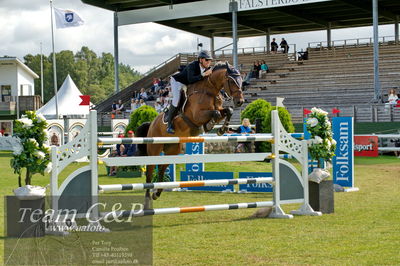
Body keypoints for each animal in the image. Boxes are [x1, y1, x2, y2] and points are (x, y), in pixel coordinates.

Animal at [136, 62, 245, 208]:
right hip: (154, 149)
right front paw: (210, 125)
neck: (209, 91)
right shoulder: (197, 116)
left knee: (162, 169)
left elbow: (228, 110)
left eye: (241, 80)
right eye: (232, 81)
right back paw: (148, 200)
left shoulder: (221, 110)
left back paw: (157, 193)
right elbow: (215, 113)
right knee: (149, 174)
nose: (240, 101)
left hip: (172, 150)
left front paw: (221, 129)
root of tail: (152, 123)